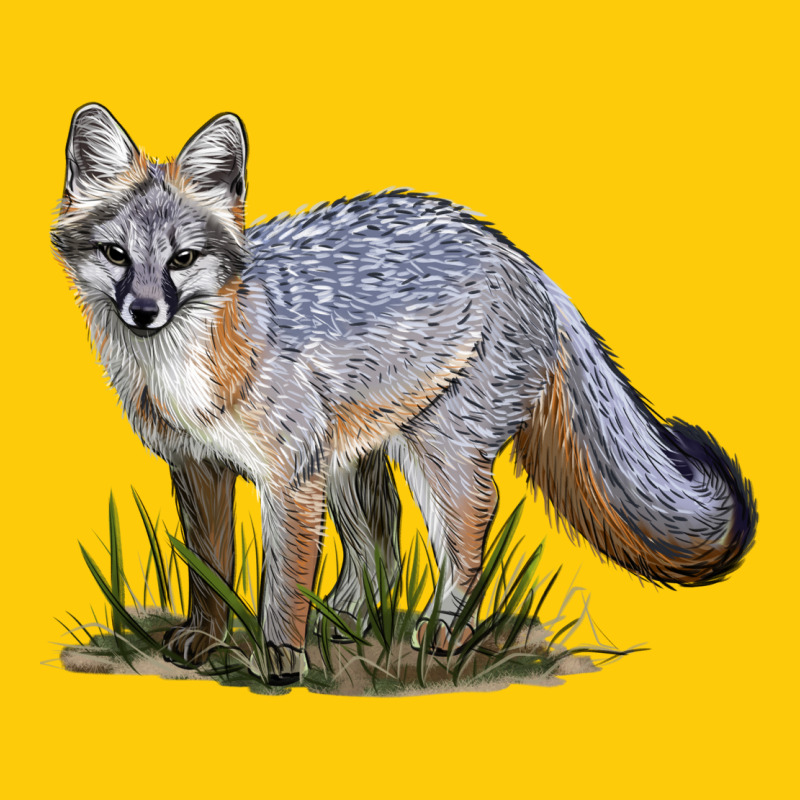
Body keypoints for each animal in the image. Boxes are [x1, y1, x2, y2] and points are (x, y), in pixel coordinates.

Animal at [52, 104, 756, 685]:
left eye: (183, 259)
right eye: (116, 255)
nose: (144, 311)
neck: (189, 371)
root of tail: (514, 253)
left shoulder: (290, 479)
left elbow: (283, 583)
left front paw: (279, 657)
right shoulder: (199, 466)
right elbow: (210, 569)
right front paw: (205, 639)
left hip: (434, 452)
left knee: (469, 530)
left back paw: (441, 632)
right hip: (352, 460)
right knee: (381, 553)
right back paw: (346, 621)